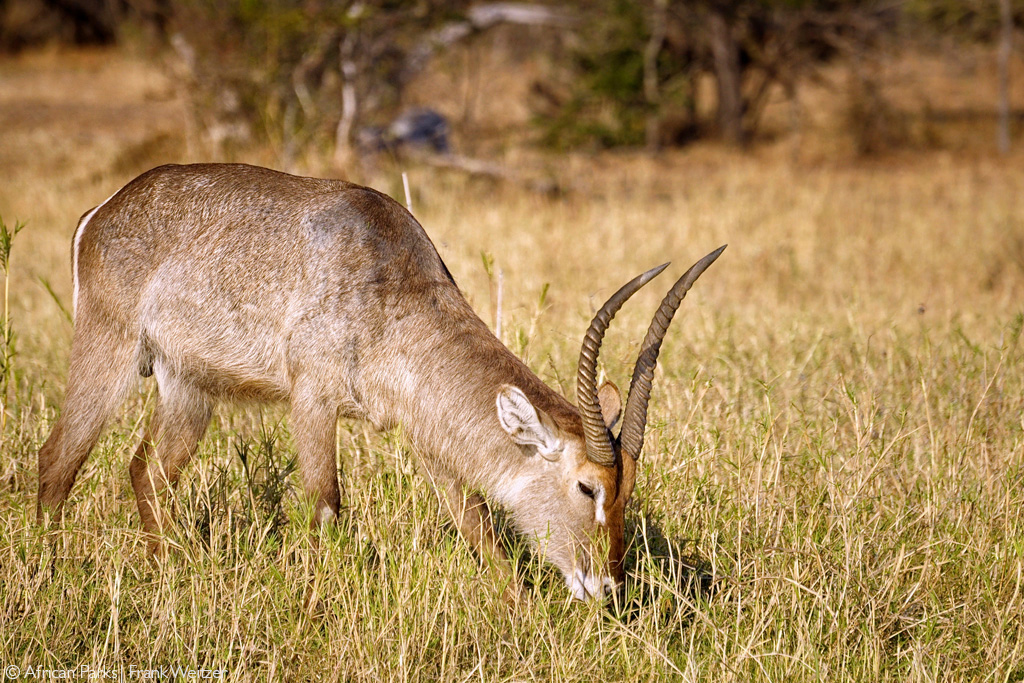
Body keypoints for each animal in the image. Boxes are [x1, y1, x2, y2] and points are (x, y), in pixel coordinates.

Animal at [37, 163, 729, 598]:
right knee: (57, 460)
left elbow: (476, 526)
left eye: (628, 489)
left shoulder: (427, 433)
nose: (607, 586)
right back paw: (52, 574)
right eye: (587, 487)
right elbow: (327, 508)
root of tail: (105, 209)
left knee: (146, 474)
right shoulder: (312, 401)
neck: (390, 282)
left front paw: (520, 611)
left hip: (189, 389)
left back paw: (169, 575)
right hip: (109, 351)